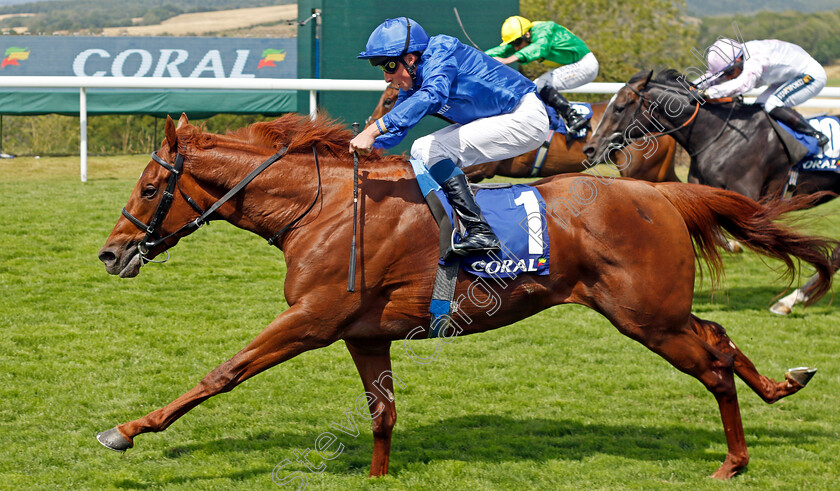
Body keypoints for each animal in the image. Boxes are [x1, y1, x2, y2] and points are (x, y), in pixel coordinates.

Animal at [98, 112, 832, 480]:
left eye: (148, 187)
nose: (110, 252)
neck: (322, 206)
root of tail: (661, 195)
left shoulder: (310, 319)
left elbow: (222, 372)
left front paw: (126, 430)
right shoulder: (364, 332)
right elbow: (382, 415)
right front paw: (379, 475)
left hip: (646, 314)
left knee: (712, 361)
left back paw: (734, 460)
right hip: (658, 310)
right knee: (720, 338)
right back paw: (783, 384)